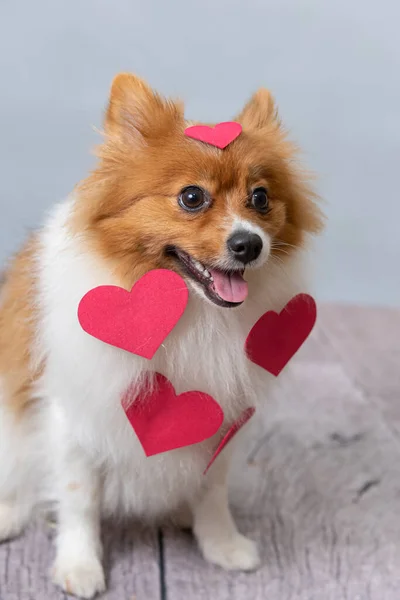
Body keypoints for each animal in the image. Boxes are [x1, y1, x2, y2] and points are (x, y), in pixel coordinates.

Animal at [0, 72, 322, 596]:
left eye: (260, 198)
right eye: (192, 197)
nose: (249, 244)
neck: (194, 313)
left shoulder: (223, 419)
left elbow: (213, 491)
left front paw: (221, 544)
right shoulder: (75, 416)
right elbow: (79, 499)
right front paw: (79, 565)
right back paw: (8, 513)